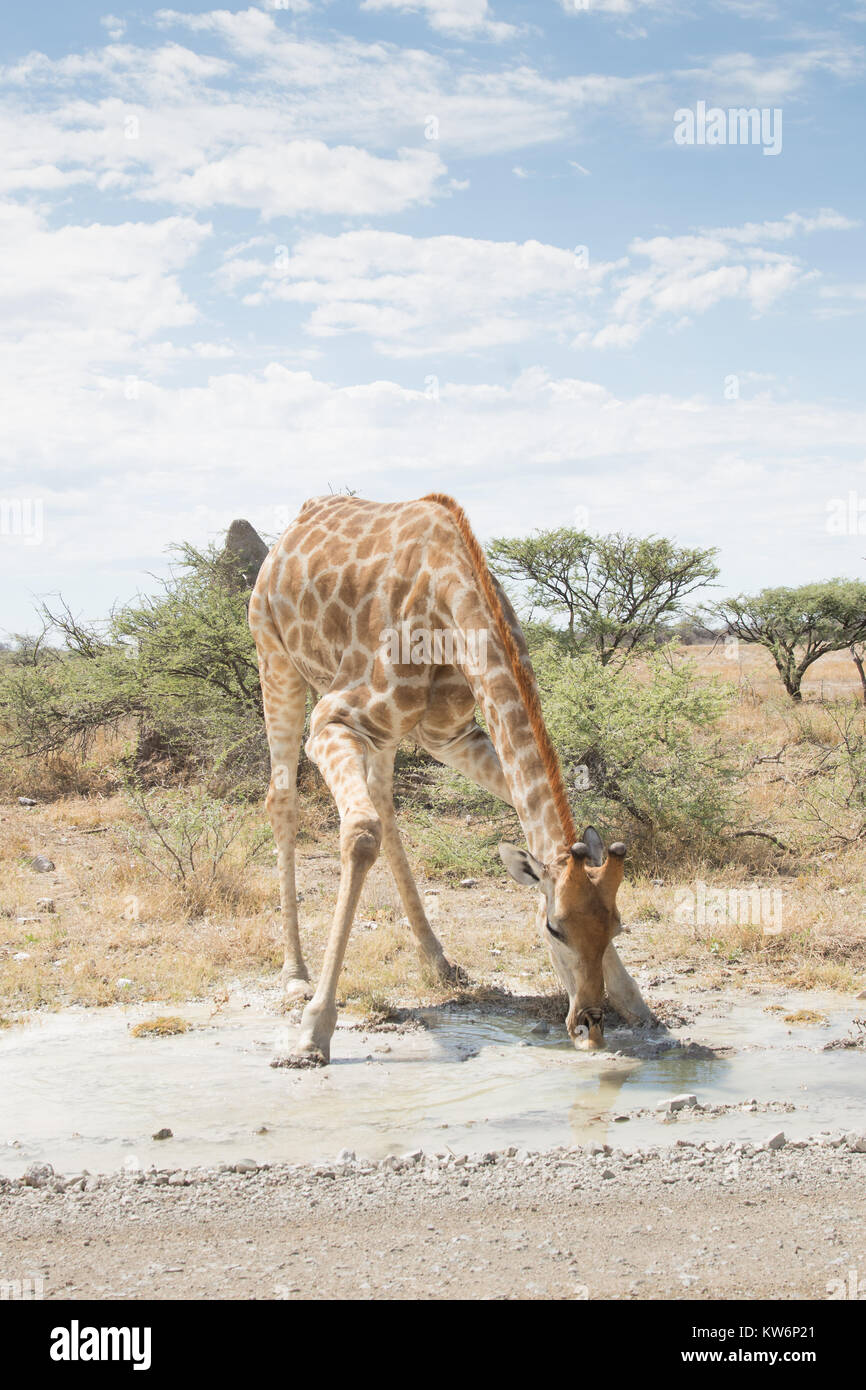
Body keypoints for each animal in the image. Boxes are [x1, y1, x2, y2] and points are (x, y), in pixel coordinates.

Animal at [247, 492, 653, 1061]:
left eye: (617, 925)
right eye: (553, 930)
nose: (589, 1025)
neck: (449, 602)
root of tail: (298, 520)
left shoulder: (452, 736)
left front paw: (637, 1004)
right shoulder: (333, 719)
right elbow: (360, 835)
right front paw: (314, 1032)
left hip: (388, 733)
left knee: (384, 802)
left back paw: (437, 960)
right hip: (275, 657)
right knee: (285, 801)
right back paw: (296, 978)